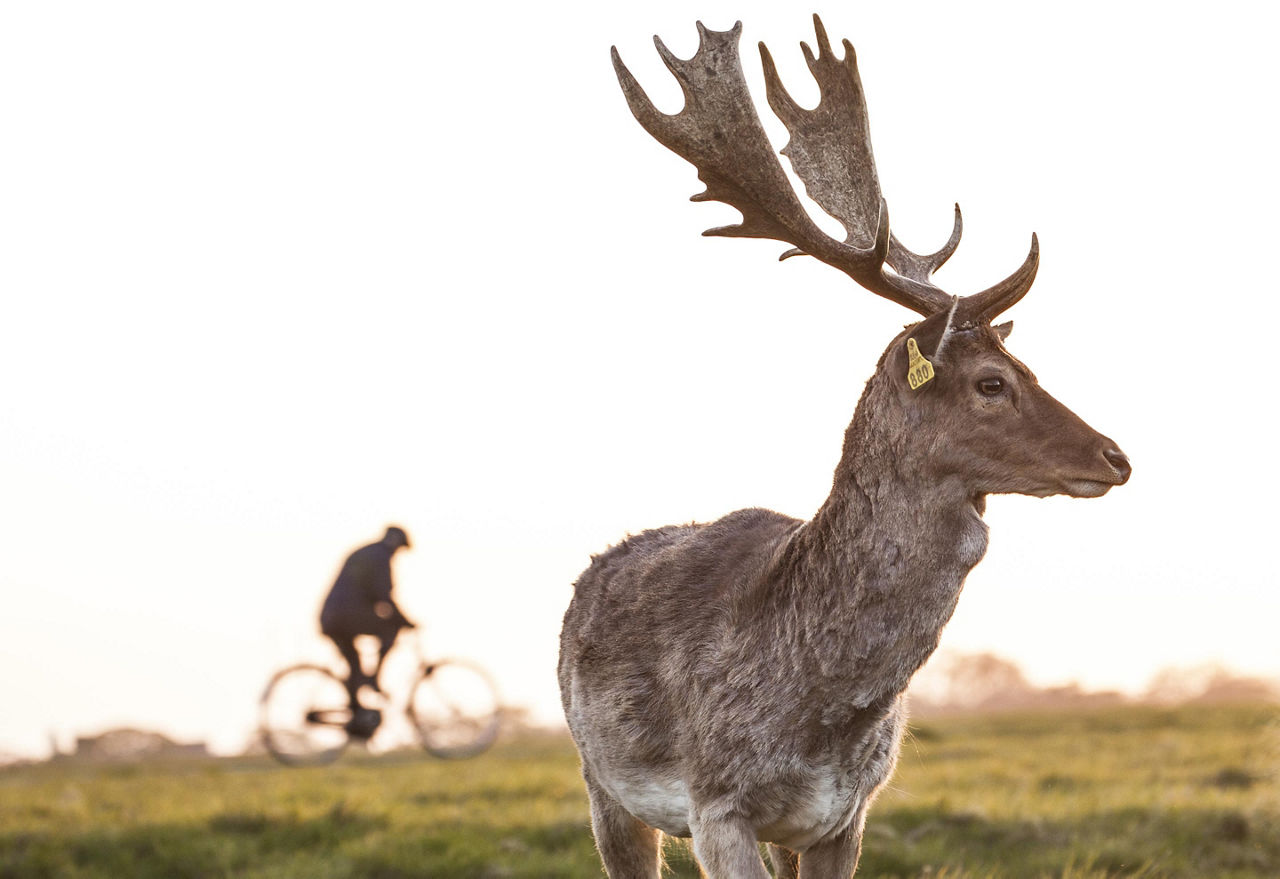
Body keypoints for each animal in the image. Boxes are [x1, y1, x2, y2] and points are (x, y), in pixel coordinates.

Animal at [560, 15, 1131, 879]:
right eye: (992, 381)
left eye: (1027, 364)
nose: (1115, 456)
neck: (820, 709)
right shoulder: (716, 803)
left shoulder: (845, 813)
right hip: (601, 784)